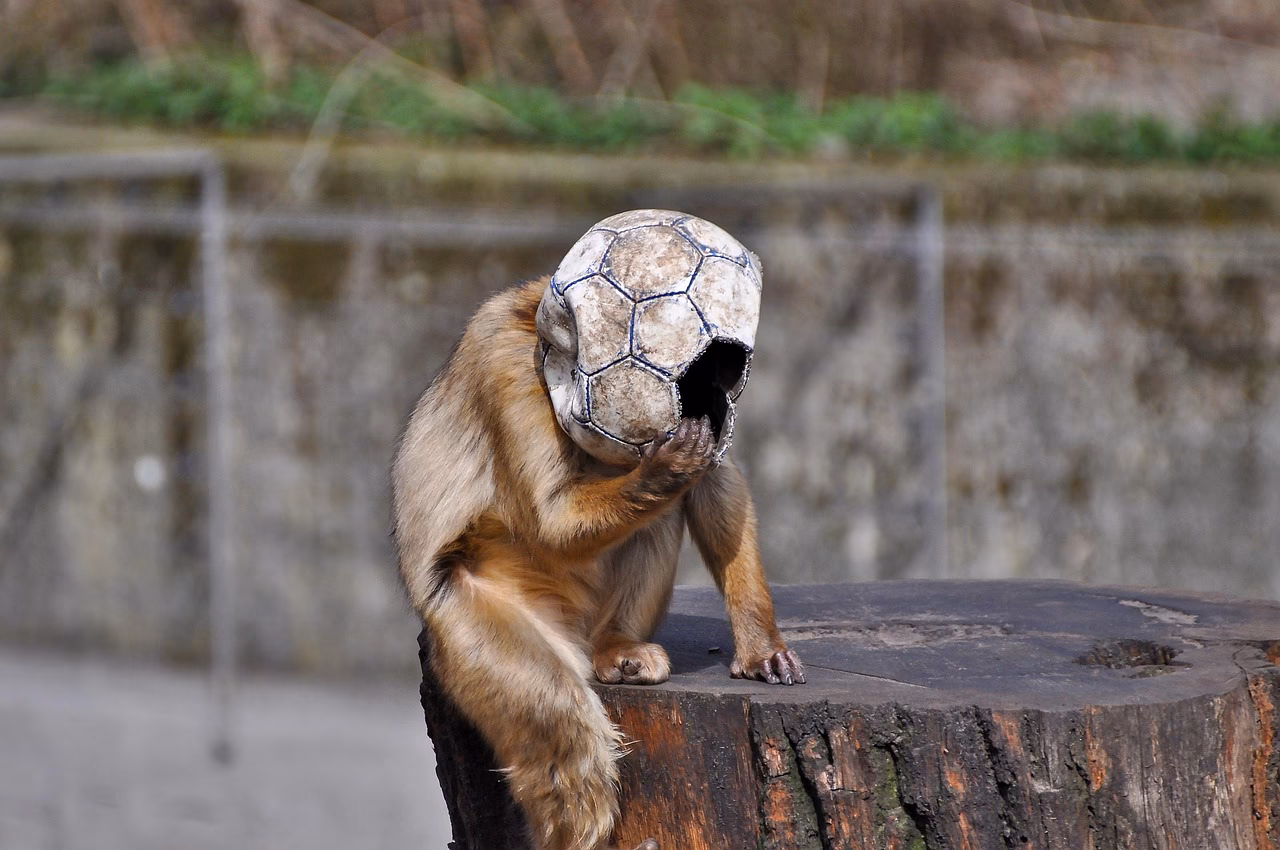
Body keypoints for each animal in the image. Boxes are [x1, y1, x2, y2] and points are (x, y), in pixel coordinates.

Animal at [392, 275, 804, 850]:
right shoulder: (501, 359)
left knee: (659, 519)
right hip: (469, 610)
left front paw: (761, 645)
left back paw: (618, 647)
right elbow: (550, 521)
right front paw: (665, 468)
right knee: (561, 724)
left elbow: (717, 480)